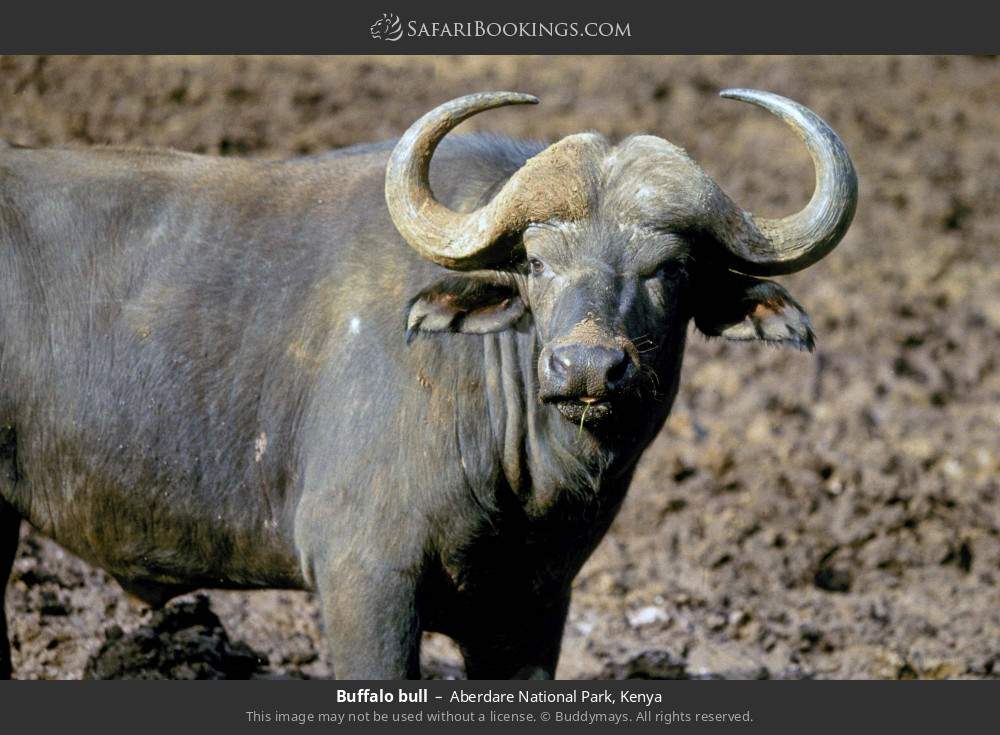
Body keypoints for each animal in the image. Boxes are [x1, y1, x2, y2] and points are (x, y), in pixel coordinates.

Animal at [0, 88, 856, 679]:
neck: (528, 480)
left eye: (670, 269)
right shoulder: (364, 582)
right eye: (536, 262)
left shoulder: (532, 612)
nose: (586, 367)